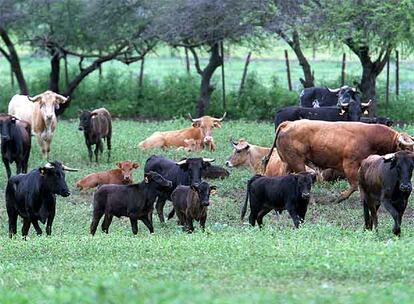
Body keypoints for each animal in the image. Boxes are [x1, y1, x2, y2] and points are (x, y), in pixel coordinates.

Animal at [266, 120, 414, 203]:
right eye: (407, 148)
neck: (371, 137)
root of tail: (288, 123)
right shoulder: (349, 165)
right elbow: (354, 185)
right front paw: (339, 198)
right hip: (297, 161)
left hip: (288, 162)